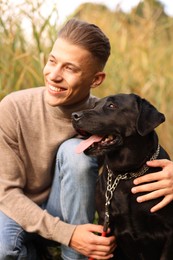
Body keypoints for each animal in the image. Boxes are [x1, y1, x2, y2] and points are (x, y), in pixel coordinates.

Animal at [71, 94, 173, 260]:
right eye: (94, 105)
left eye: (112, 106)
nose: (74, 115)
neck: (127, 173)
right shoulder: (104, 226)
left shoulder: (169, 233)